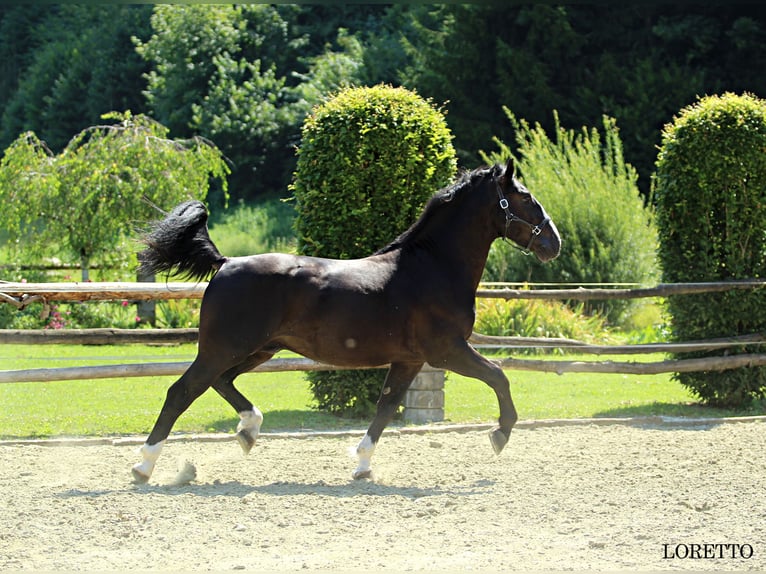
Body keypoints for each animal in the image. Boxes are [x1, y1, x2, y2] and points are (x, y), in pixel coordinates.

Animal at [132, 160, 560, 484]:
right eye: (524, 197)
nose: (553, 243)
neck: (432, 268)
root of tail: (225, 263)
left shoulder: (410, 360)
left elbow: (385, 408)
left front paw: (362, 466)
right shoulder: (447, 351)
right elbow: (499, 375)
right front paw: (500, 434)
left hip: (258, 348)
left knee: (221, 382)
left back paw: (248, 431)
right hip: (223, 348)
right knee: (181, 392)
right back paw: (143, 466)